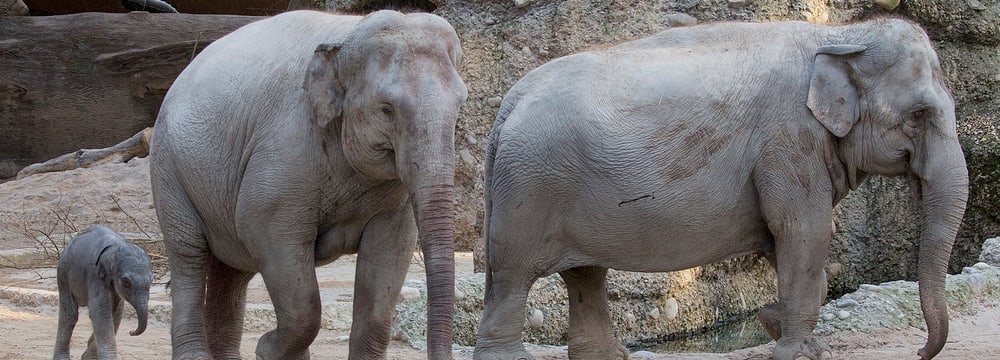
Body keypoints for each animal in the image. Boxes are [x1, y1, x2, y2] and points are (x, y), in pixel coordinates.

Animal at [52, 226, 152, 358]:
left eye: (151, 281)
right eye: (126, 282)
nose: (131, 331)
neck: (116, 247)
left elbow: (112, 313)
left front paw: (87, 357)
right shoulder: (95, 275)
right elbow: (99, 312)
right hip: (63, 274)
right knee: (69, 316)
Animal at [151, 9, 468, 360]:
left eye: (460, 106)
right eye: (387, 110)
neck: (347, 35)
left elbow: (390, 252)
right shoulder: (284, 151)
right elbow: (266, 234)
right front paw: (267, 349)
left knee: (232, 270)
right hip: (168, 168)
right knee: (189, 255)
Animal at [476, 17, 968, 360]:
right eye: (920, 114)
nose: (920, 351)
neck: (840, 33)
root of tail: (509, 102)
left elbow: (789, 241)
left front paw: (774, 322)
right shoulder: (789, 140)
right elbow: (803, 231)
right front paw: (798, 351)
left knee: (584, 274)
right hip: (531, 187)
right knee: (514, 275)